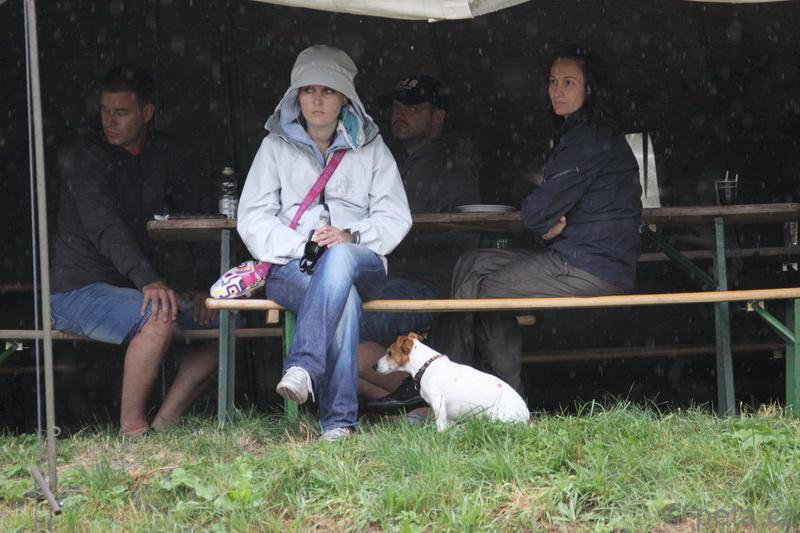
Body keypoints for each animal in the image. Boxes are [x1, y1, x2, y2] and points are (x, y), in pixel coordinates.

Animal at [374, 333, 530, 431]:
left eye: (389, 353)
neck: (426, 365)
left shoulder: (438, 402)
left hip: (493, 415)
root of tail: (527, 416)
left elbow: (440, 425)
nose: (373, 366)